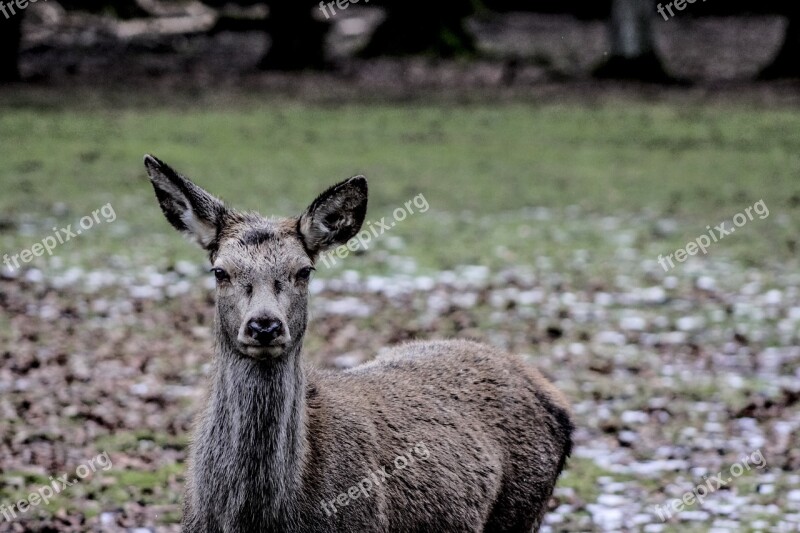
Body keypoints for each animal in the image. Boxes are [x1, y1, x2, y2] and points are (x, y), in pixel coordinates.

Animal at [142, 153, 568, 528]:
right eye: (220, 271)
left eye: (304, 271)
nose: (264, 326)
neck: (260, 519)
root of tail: (552, 394)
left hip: (522, 508)